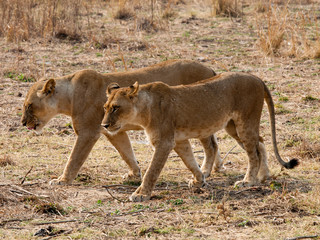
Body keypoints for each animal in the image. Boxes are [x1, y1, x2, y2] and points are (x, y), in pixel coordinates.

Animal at [20, 60, 221, 186]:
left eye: (29, 105)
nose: (22, 123)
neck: (68, 98)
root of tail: (211, 70)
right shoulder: (113, 131)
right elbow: (126, 152)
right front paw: (134, 174)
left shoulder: (87, 132)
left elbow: (74, 158)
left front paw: (62, 180)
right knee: (215, 142)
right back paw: (217, 167)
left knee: (211, 145)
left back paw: (206, 171)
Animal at [102, 72, 298, 202]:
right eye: (105, 107)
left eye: (116, 107)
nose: (104, 125)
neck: (143, 109)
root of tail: (257, 78)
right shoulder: (179, 140)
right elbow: (189, 160)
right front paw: (199, 180)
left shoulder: (164, 142)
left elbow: (152, 171)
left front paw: (141, 194)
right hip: (233, 127)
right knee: (261, 143)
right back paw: (263, 176)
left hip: (245, 123)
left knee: (253, 153)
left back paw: (248, 181)